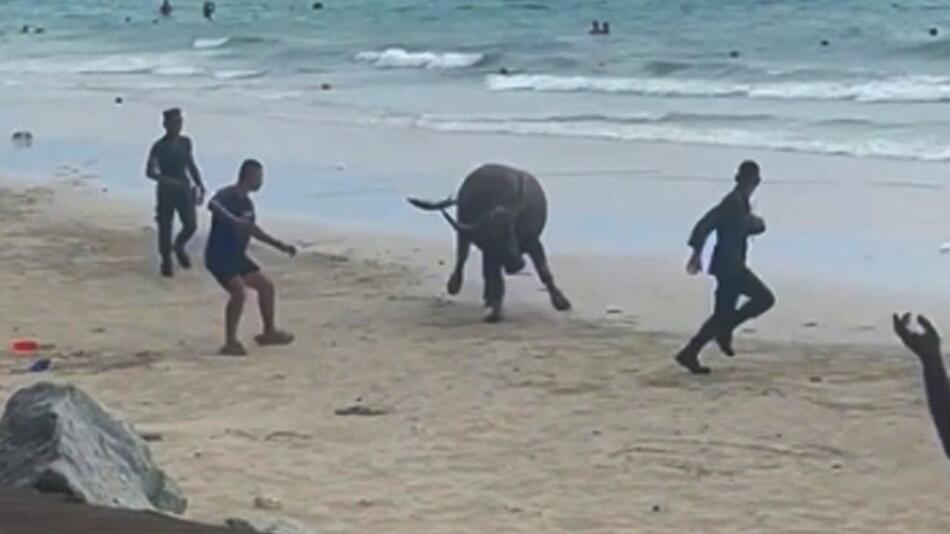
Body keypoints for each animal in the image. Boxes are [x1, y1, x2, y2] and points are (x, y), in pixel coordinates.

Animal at [410, 163, 572, 322]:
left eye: (511, 228)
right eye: (491, 238)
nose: (516, 264)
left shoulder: (533, 242)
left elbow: (544, 272)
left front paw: (561, 302)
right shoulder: (490, 252)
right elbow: (495, 279)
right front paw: (495, 311)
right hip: (465, 238)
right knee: (463, 259)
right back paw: (457, 286)